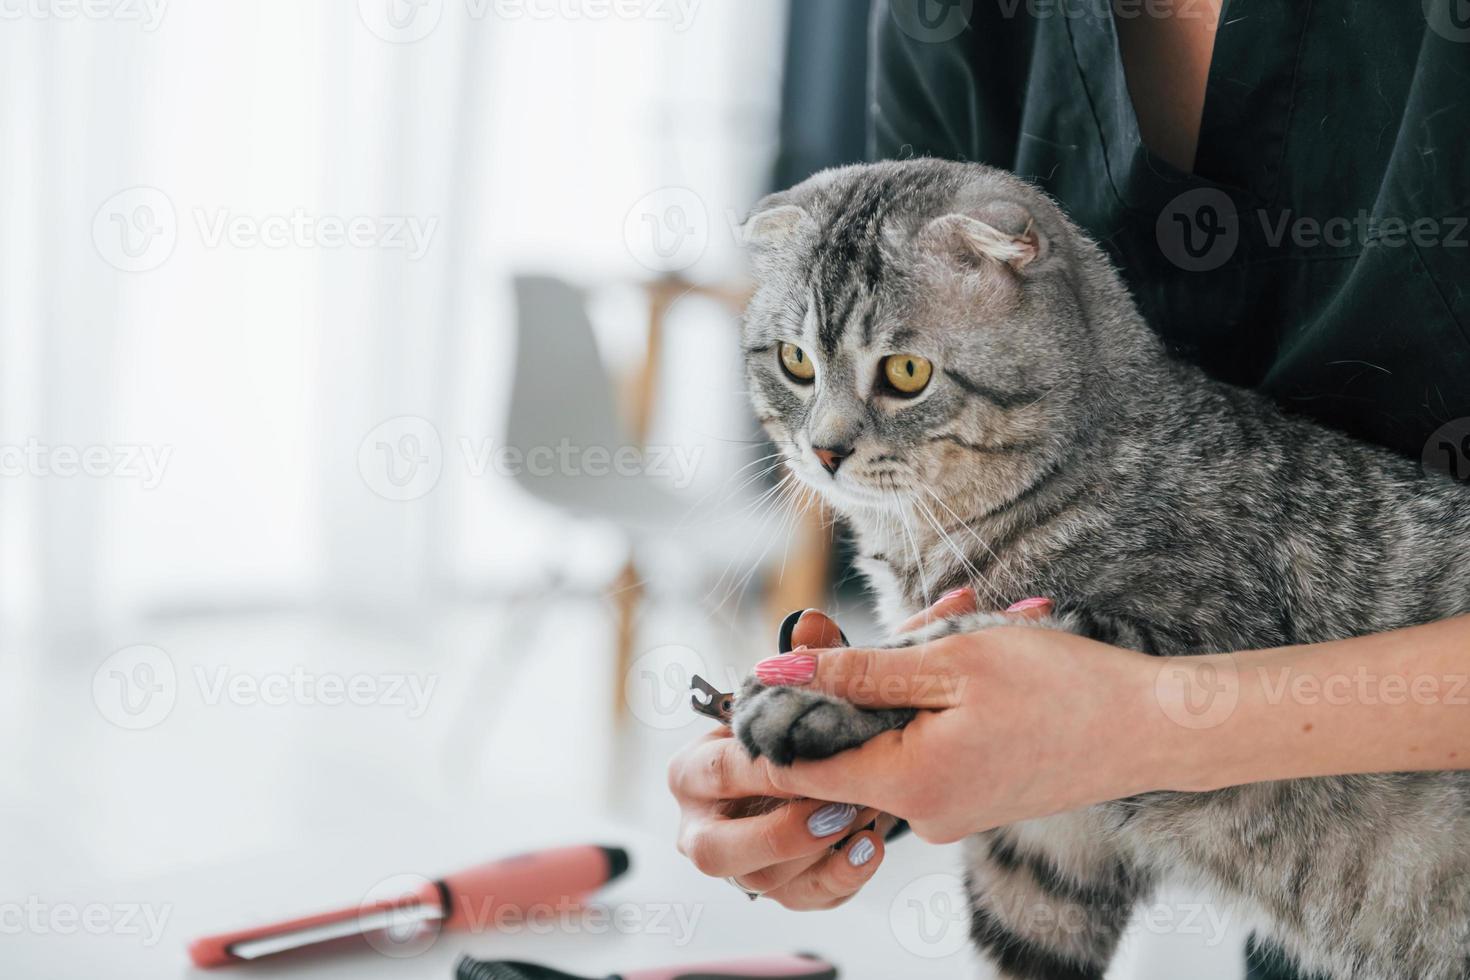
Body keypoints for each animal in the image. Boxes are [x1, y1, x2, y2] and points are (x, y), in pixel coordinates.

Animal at [732, 160, 1470, 980]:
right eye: (796, 362)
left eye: (906, 373)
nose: (824, 451)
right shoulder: (1044, 852)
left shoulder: (1197, 650)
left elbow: (955, 643)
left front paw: (816, 691)